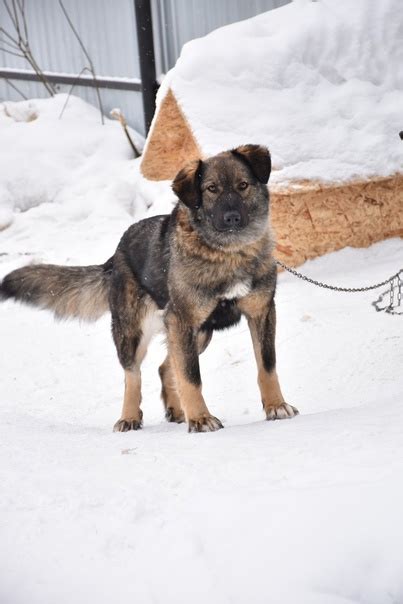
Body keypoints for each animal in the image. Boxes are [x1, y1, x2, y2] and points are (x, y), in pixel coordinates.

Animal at [0, 144, 300, 432]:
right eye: (211, 189)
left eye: (243, 185)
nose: (232, 218)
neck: (229, 254)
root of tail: (116, 254)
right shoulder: (182, 321)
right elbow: (191, 376)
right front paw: (201, 419)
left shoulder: (260, 313)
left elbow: (267, 365)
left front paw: (276, 406)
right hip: (135, 331)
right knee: (134, 375)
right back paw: (130, 417)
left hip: (198, 333)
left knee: (165, 367)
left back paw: (177, 410)